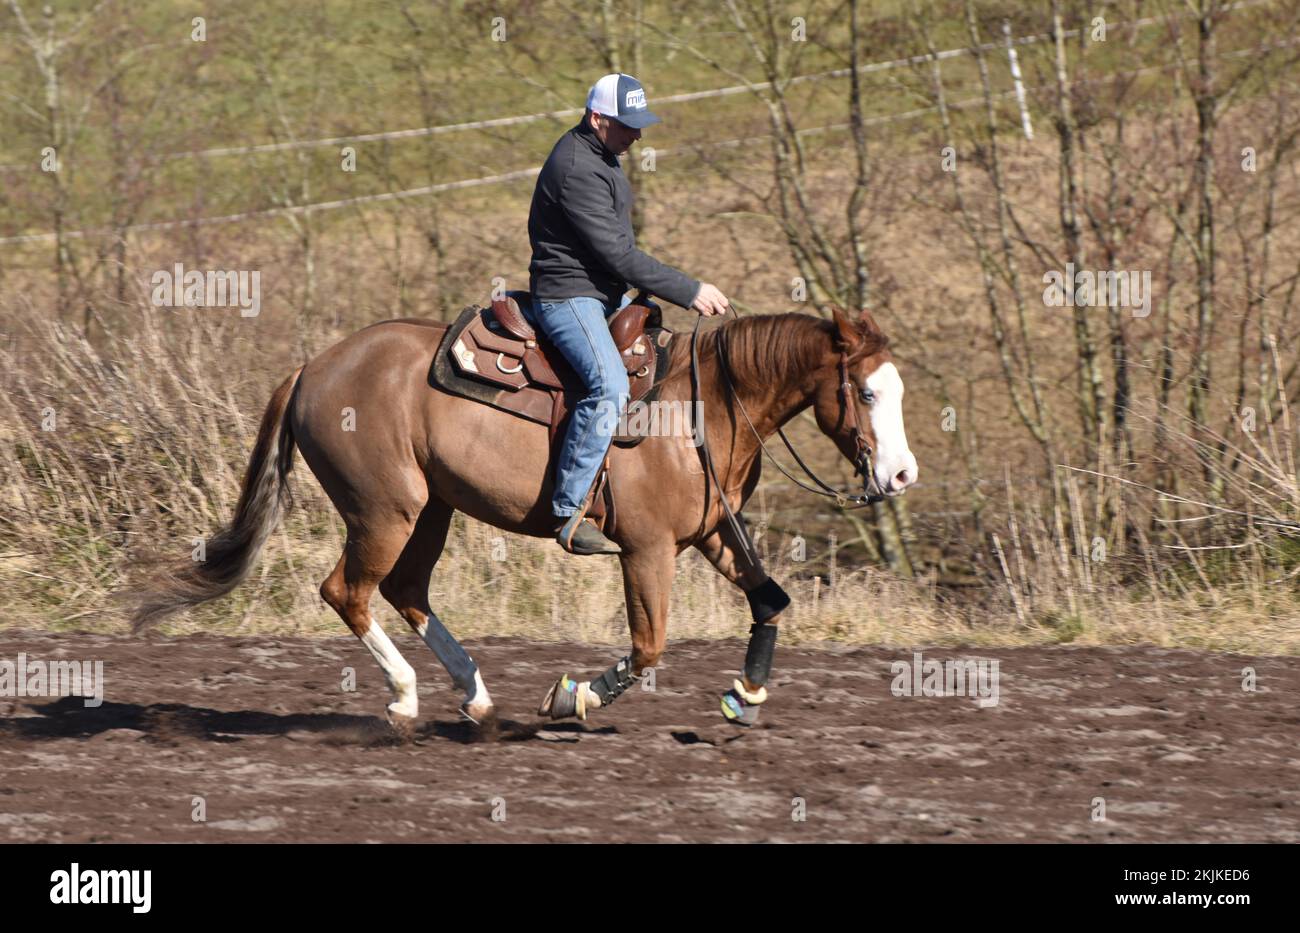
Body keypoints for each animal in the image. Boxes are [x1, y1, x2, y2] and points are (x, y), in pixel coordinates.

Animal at [127, 303, 917, 729]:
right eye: (867, 392)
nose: (902, 474)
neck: (705, 403)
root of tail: (311, 368)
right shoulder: (649, 549)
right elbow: (649, 646)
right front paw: (572, 697)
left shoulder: (712, 534)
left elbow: (770, 600)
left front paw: (745, 694)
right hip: (385, 510)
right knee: (347, 592)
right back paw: (406, 700)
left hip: (433, 509)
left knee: (406, 591)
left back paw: (475, 699)